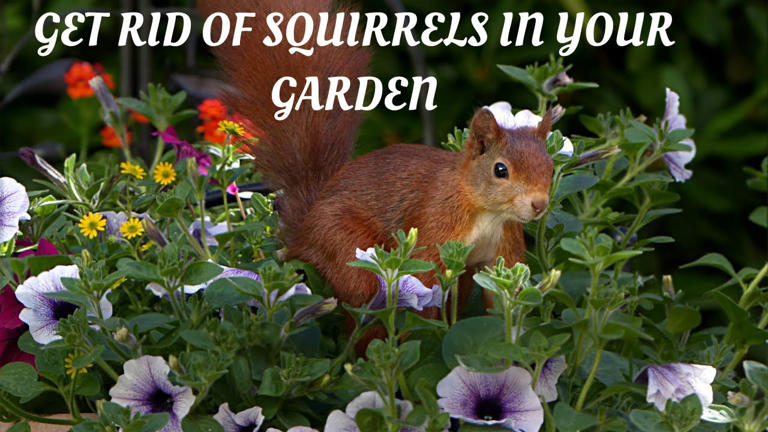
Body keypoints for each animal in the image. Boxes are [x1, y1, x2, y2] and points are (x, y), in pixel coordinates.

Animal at [198, 0, 554, 319]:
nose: (539, 205)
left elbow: (505, 301)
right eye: (500, 170)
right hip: (344, 246)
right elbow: (424, 283)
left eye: (550, 168)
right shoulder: (435, 227)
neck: (485, 212)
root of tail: (303, 231)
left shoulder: (503, 247)